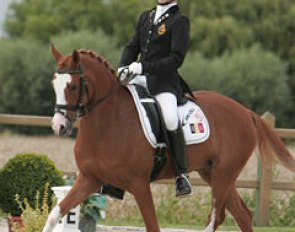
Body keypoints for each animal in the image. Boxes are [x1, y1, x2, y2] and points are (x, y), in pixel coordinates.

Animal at [43, 44, 295, 232]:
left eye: (72, 86)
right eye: (53, 84)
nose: (59, 126)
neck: (108, 122)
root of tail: (247, 112)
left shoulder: (139, 184)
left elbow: (152, 226)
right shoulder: (89, 179)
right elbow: (55, 214)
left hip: (224, 174)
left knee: (216, 217)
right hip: (213, 173)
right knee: (243, 215)